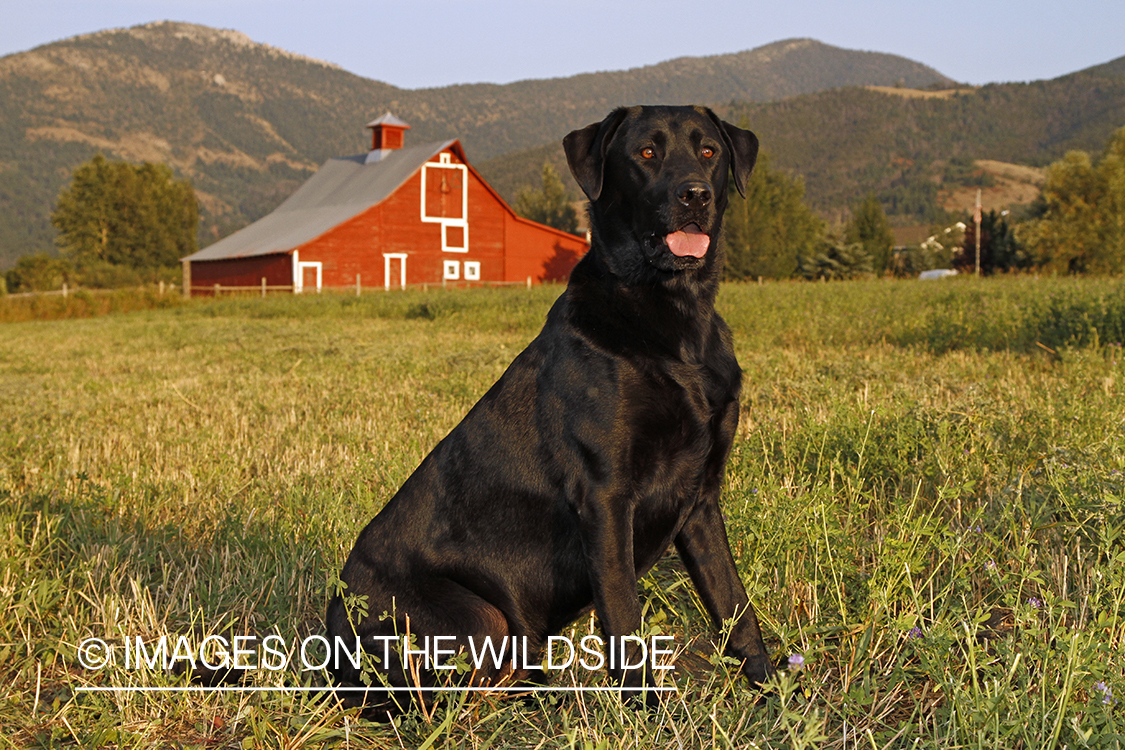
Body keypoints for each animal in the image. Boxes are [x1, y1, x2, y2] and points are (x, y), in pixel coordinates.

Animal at [326, 104, 774, 710]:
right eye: (647, 152)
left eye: (709, 152)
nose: (695, 195)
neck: (675, 318)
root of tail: (325, 637)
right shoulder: (606, 496)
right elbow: (624, 619)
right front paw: (646, 711)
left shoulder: (701, 498)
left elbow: (735, 606)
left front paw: (779, 693)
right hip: (477, 616)